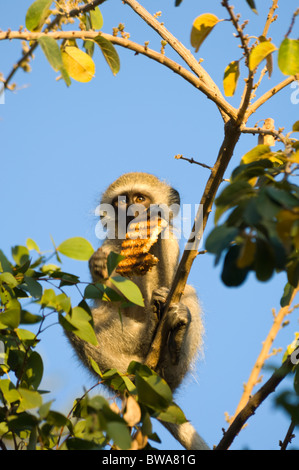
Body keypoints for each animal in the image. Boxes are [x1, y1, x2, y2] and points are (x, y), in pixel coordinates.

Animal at [67, 173, 210, 452]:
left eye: (141, 198)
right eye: (121, 201)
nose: (132, 212)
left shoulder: (170, 245)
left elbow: (175, 281)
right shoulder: (111, 245)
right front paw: (98, 266)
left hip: (170, 375)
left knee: (188, 295)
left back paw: (174, 340)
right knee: (77, 321)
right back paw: (146, 342)